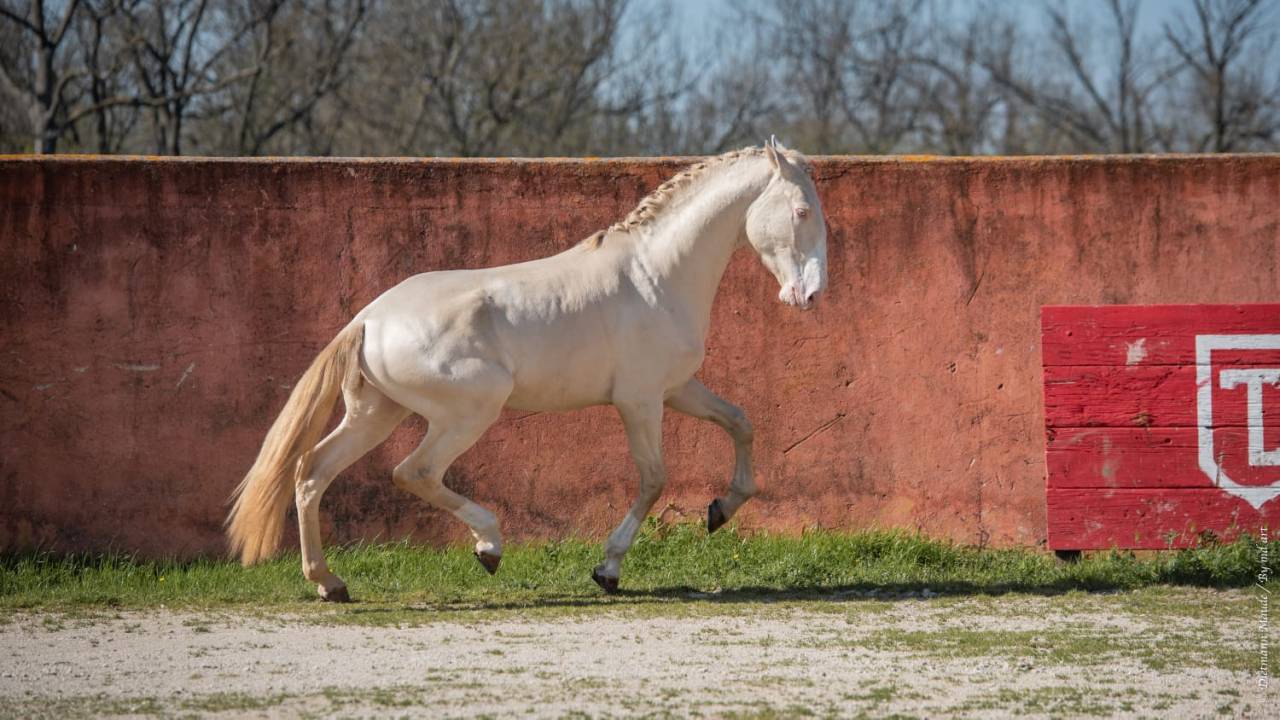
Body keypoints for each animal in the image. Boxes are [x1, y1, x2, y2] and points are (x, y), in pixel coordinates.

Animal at [226, 137, 828, 601]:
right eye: (801, 212)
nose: (810, 295)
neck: (655, 276)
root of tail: (368, 319)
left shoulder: (677, 388)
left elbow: (741, 422)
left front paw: (720, 511)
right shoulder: (639, 400)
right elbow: (654, 477)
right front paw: (607, 570)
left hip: (377, 414)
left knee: (311, 474)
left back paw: (331, 584)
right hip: (467, 413)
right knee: (414, 472)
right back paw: (489, 547)